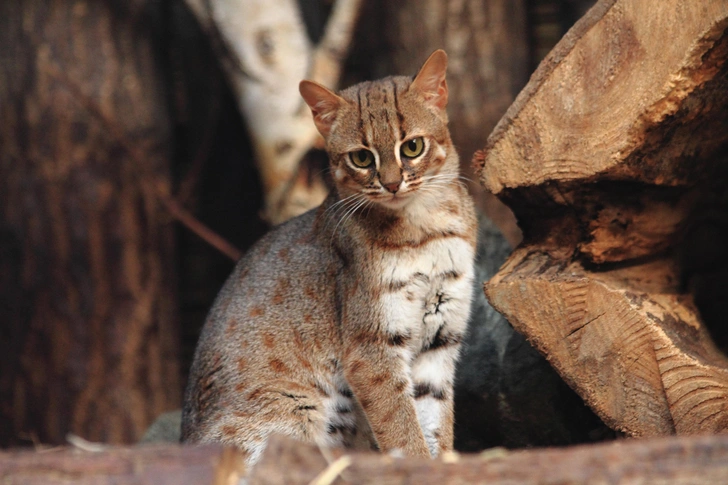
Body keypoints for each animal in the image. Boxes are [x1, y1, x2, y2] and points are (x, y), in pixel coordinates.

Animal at [182, 49, 478, 466]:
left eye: (412, 147)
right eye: (361, 158)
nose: (392, 184)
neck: (426, 228)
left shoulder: (441, 338)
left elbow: (435, 423)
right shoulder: (370, 350)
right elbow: (403, 429)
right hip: (295, 409)